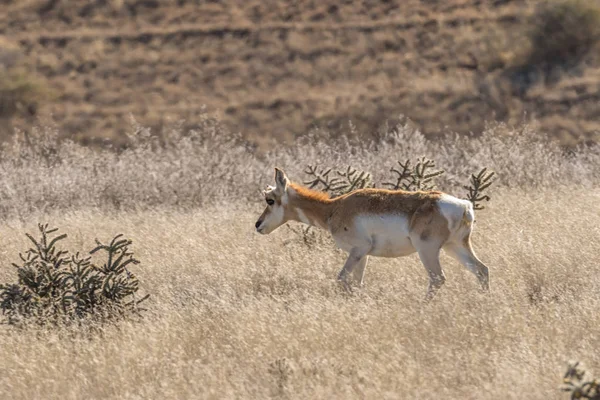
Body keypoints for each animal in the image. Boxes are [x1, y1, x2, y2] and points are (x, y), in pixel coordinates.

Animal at [255, 167, 490, 298]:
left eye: (270, 200)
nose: (257, 224)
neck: (334, 208)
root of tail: (464, 206)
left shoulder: (358, 250)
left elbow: (342, 279)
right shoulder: (363, 256)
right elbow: (357, 283)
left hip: (428, 250)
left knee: (438, 278)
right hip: (455, 247)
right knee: (482, 270)